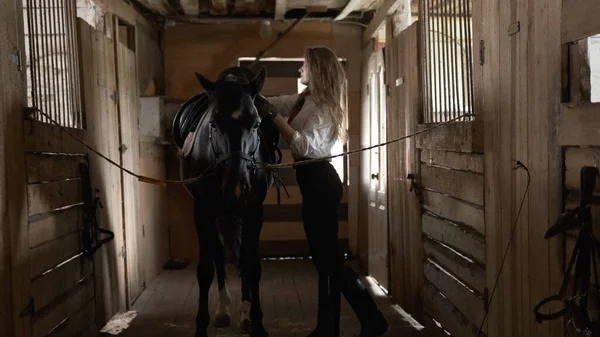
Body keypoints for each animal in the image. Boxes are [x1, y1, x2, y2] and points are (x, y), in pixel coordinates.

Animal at [171, 66, 278, 336]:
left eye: (256, 124)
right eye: (214, 123)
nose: (236, 188)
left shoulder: (254, 213)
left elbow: (252, 266)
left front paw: (257, 322)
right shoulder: (202, 213)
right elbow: (205, 269)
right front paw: (201, 325)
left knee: (240, 257)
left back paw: (244, 314)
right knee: (219, 256)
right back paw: (223, 310)